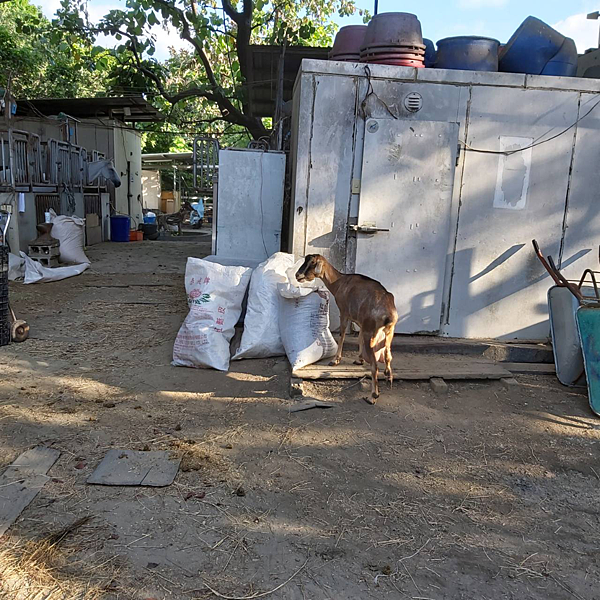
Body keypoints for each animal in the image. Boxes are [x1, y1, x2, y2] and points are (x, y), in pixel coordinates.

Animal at [296, 253, 398, 404]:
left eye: (313, 262)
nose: (298, 275)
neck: (340, 282)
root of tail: (388, 313)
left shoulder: (344, 312)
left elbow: (342, 334)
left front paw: (335, 360)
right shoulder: (360, 322)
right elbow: (358, 337)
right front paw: (359, 359)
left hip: (371, 334)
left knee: (374, 365)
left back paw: (372, 396)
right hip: (388, 333)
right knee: (388, 356)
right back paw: (388, 377)